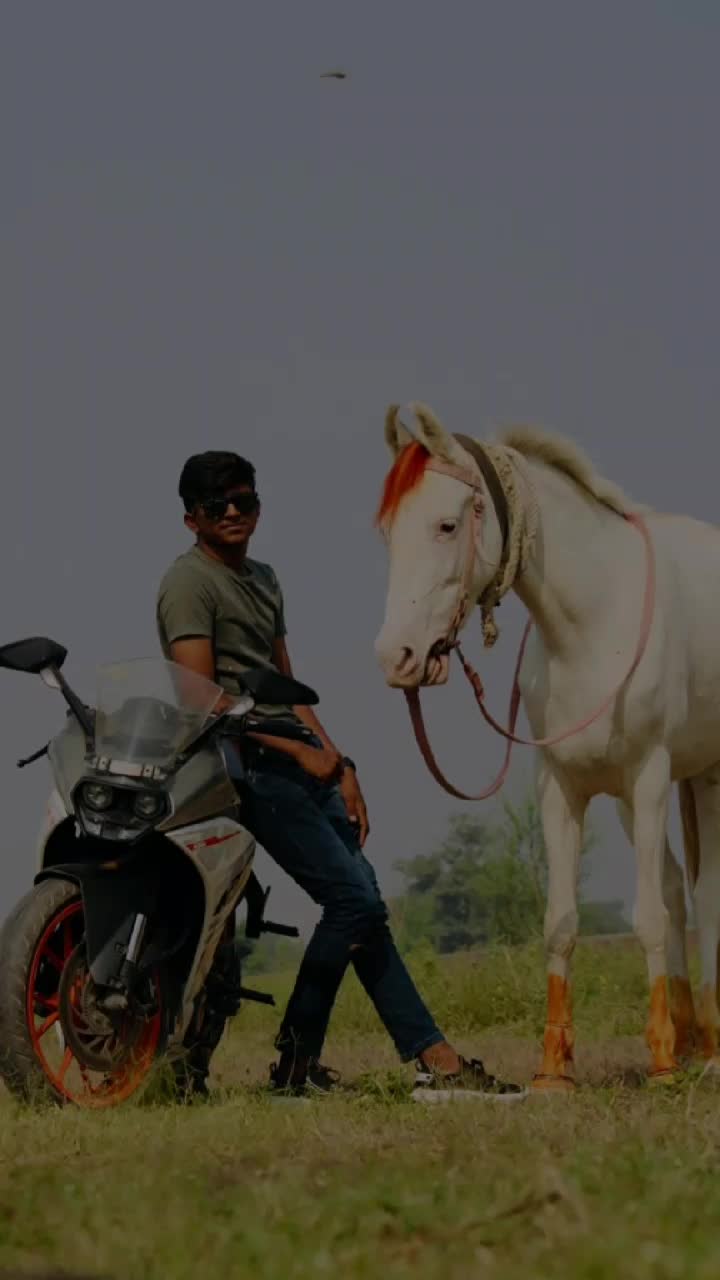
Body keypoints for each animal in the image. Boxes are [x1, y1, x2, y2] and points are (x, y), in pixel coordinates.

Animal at [374, 401, 720, 1090]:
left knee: (706, 895)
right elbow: (561, 922)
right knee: (680, 888)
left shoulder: (648, 774)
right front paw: (553, 1069)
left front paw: (662, 1064)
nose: (395, 656)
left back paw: (709, 1047)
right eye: (390, 531)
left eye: (446, 525)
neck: (594, 624)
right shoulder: (562, 786)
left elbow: (647, 916)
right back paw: (698, 1039)